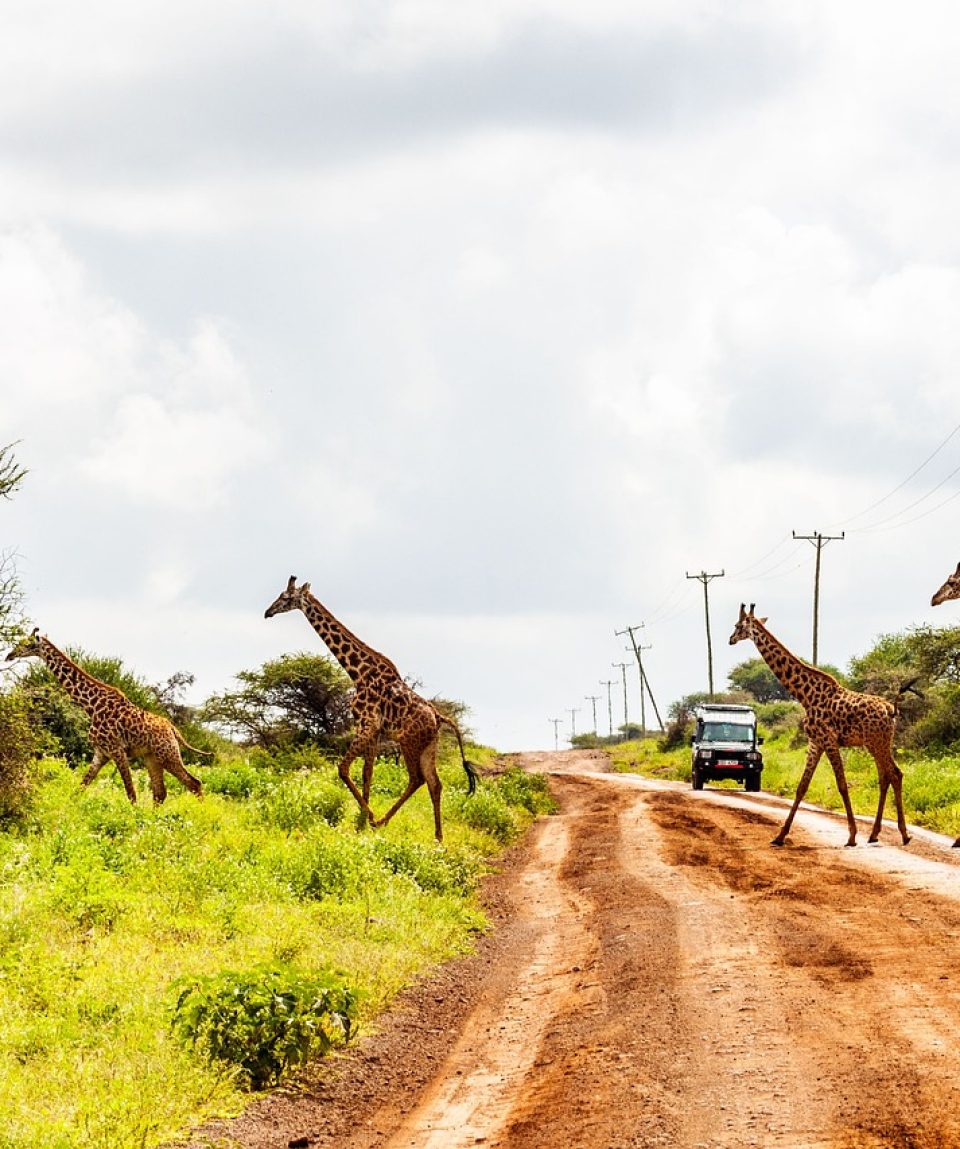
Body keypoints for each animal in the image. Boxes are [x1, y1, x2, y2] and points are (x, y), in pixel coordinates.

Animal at [6, 629, 204, 808]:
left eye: (27, 644)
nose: (9, 655)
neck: (91, 706)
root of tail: (173, 729)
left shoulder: (117, 750)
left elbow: (130, 792)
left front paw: (134, 818)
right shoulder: (101, 753)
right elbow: (81, 787)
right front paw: (66, 811)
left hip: (167, 754)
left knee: (194, 783)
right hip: (152, 757)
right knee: (160, 792)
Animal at [264, 579, 477, 841]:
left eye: (285, 597)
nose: (268, 612)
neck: (358, 673)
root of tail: (438, 716)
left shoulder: (366, 724)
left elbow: (344, 769)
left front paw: (368, 818)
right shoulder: (375, 731)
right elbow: (367, 773)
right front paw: (361, 823)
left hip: (408, 742)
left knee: (417, 779)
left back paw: (384, 821)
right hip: (428, 745)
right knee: (434, 782)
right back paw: (438, 837)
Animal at [725, 606, 909, 850]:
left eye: (738, 626)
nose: (730, 639)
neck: (805, 695)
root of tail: (891, 710)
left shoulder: (828, 740)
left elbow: (842, 784)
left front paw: (852, 836)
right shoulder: (815, 742)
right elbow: (802, 787)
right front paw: (780, 836)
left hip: (876, 742)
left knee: (893, 774)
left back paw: (902, 834)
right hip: (879, 743)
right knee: (887, 776)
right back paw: (876, 834)